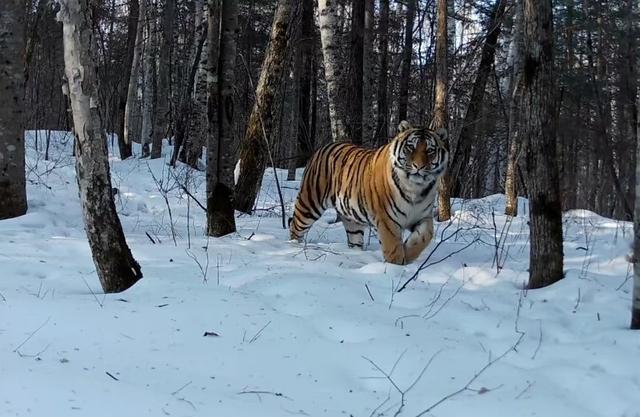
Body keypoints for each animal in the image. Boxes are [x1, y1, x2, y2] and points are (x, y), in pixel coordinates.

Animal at [290, 121, 450, 264]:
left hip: (352, 220)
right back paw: (294, 247)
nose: (418, 166)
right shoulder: (387, 219)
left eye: (430, 150)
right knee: (295, 226)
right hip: (309, 204)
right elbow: (392, 245)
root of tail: (324, 147)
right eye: (411, 147)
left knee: (354, 240)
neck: (415, 188)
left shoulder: (423, 216)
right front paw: (396, 264)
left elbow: (426, 235)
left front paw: (409, 254)